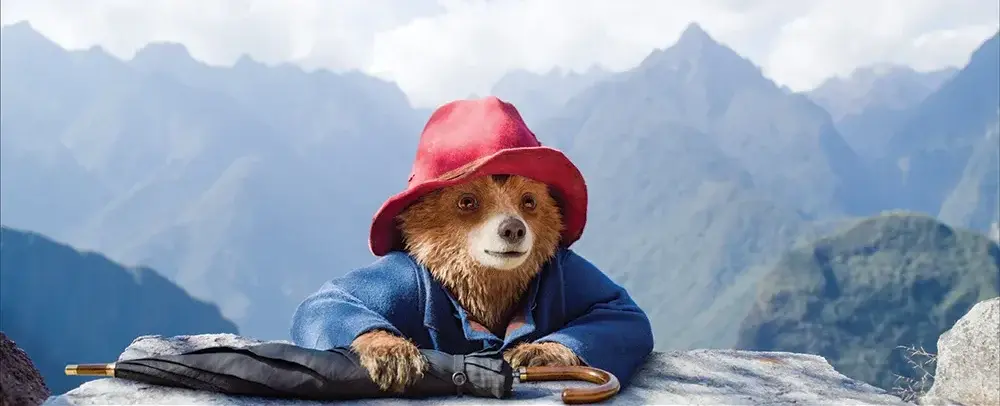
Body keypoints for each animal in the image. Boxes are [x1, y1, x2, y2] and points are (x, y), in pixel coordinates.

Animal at [290, 96, 654, 395]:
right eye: (467, 201)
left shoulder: (565, 271)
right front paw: (392, 353)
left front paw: (535, 351)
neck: (485, 291)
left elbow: (619, 310)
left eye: (529, 200)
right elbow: (330, 299)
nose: (513, 228)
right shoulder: (407, 277)